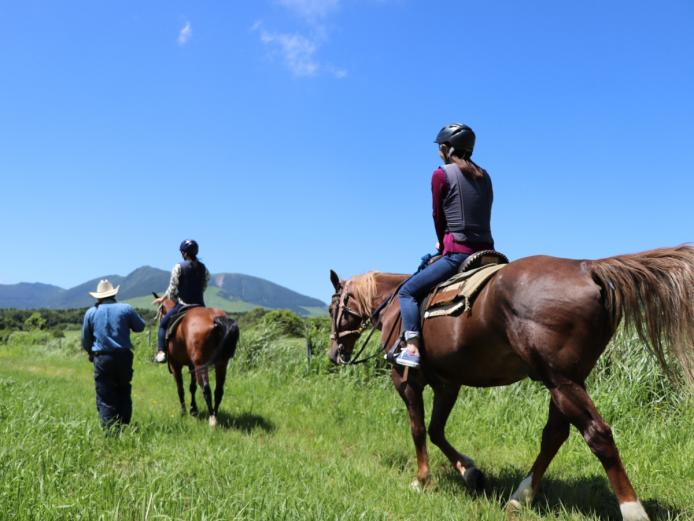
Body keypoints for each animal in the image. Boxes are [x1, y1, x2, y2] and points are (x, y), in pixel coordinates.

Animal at [159, 296, 241, 426]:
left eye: (161, 311)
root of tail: (214, 319)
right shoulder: (192, 365)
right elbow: (192, 387)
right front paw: (193, 409)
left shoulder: (176, 365)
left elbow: (180, 389)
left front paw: (183, 412)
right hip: (221, 364)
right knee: (218, 390)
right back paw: (215, 414)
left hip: (201, 364)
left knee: (206, 388)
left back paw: (212, 419)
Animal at [328, 245, 692, 520]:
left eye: (334, 308)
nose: (334, 354)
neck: (395, 304)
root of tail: (587, 267)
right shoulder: (448, 384)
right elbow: (436, 430)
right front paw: (470, 472)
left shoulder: (406, 382)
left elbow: (418, 430)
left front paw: (422, 480)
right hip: (566, 380)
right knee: (554, 434)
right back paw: (521, 496)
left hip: (561, 380)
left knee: (597, 434)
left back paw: (632, 510)